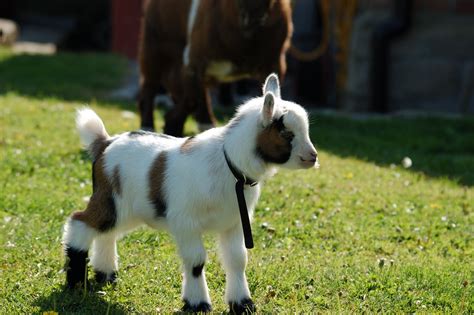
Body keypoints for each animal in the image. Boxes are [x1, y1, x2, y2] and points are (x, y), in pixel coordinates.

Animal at [137, 0, 292, 136]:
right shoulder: (194, 60)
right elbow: (192, 99)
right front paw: (173, 127)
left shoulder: (274, 63)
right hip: (154, 46)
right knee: (150, 86)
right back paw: (147, 125)